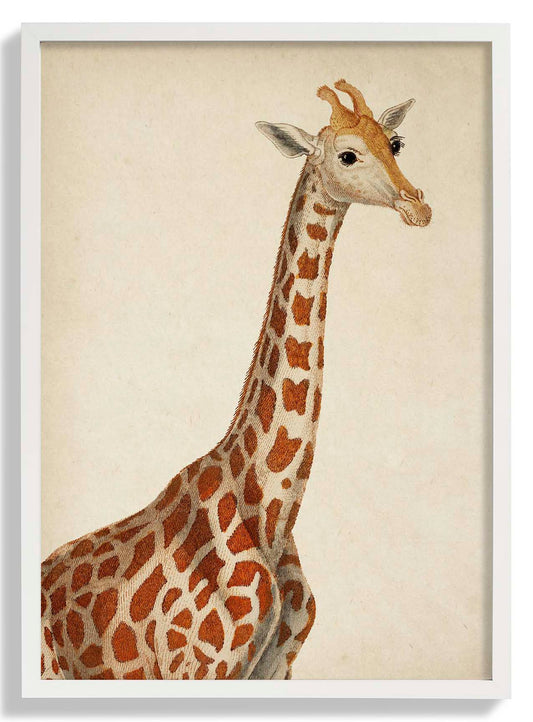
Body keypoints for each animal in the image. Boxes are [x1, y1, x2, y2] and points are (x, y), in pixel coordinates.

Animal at [41, 79, 431, 681]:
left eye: (396, 143)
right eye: (347, 155)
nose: (418, 206)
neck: (272, 512)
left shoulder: (276, 667)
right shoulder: (197, 667)